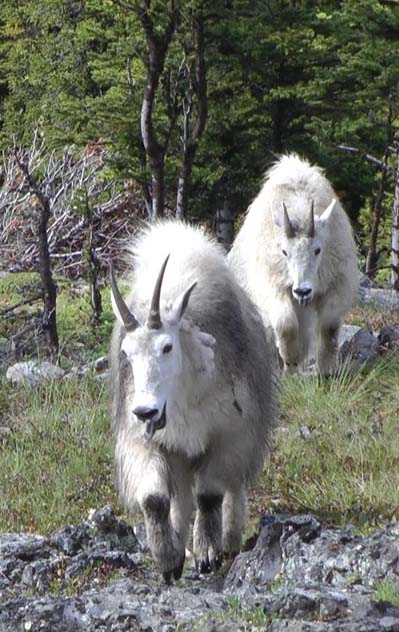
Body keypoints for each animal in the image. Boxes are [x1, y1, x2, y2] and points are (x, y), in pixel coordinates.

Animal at [109, 221, 278, 584]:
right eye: (127, 352)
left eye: (167, 346)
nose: (146, 411)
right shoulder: (146, 441)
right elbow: (154, 499)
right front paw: (168, 559)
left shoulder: (229, 435)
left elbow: (210, 494)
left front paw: (207, 553)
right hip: (179, 455)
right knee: (180, 500)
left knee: (233, 488)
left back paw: (230, 541)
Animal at [228, 155, 360, 376]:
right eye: (284, 251)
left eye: (317, 249)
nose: (302, 291)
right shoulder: (273, 282)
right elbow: (285, 323)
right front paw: (290, 364)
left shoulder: (336, 280)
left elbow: (329, 325)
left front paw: (326, 368)